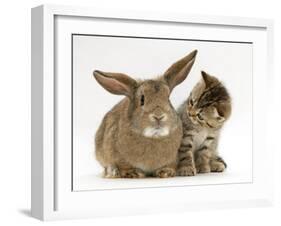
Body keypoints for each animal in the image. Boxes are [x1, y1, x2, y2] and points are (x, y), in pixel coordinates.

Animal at [92, 50, 197, 178]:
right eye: (142, 100)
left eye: (168, 99)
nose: (158, 116)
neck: (154, 136)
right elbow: (123, 166)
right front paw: (133, 173)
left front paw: (166, 172)